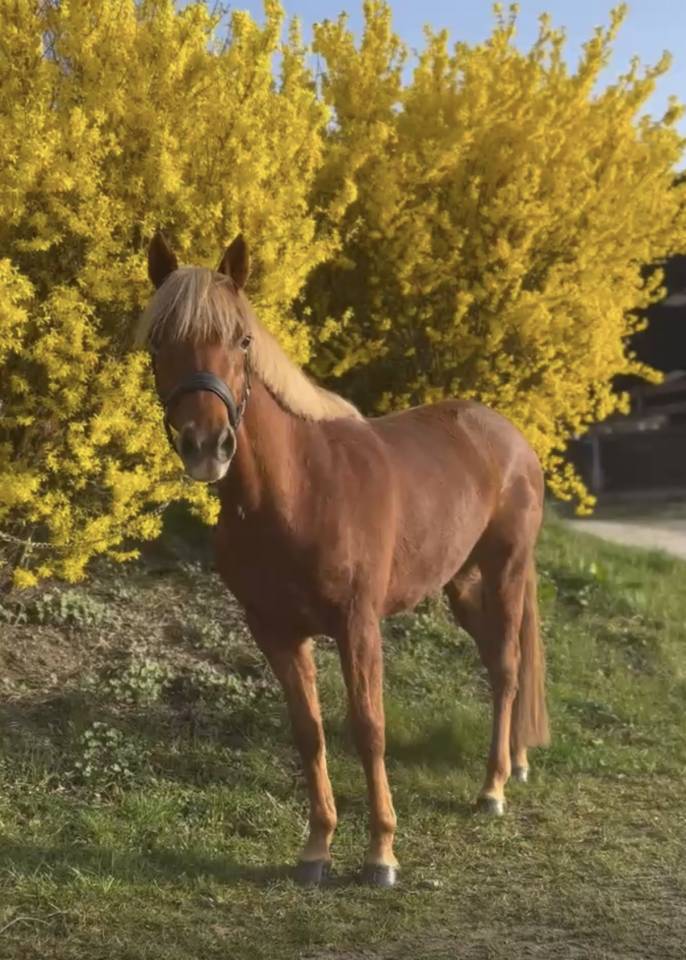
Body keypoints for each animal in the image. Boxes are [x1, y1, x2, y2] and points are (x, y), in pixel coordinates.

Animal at [138, 232, 550, 888]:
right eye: (158, 342)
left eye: (242, 339)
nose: (206, 445)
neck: (299, 490)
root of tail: (509, 435)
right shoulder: (275, 631)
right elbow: (309, 732)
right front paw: (316, 850)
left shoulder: (358, 626)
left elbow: (368, 728)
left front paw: (381, 854)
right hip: (461, 585)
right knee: (495, 665)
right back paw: (515, 763)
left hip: (506, 571)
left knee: (508, 668)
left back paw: (493, 790)